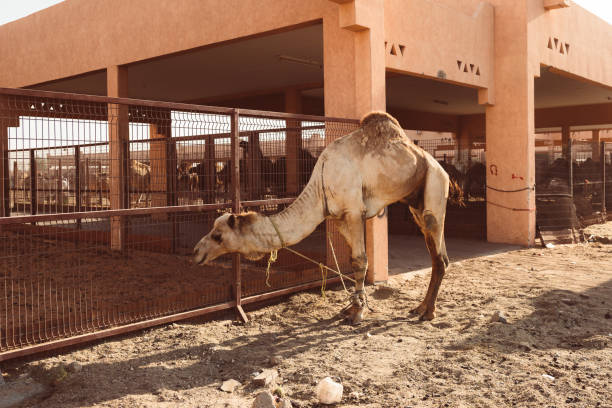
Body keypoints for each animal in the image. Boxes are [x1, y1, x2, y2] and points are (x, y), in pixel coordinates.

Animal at [194, 111, 456, 322]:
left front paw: (358, 313)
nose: (196, 252)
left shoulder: (354, 211)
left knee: (439, 252)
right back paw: (420, 308)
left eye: (217, 236)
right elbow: (352, 261)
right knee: (436, 255)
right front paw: (351, 308)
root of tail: (441, 168)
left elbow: (361, 261)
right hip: (416, 205)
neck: (322, 179)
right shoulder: (339, 218)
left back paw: (428, 312)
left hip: (435, 186)